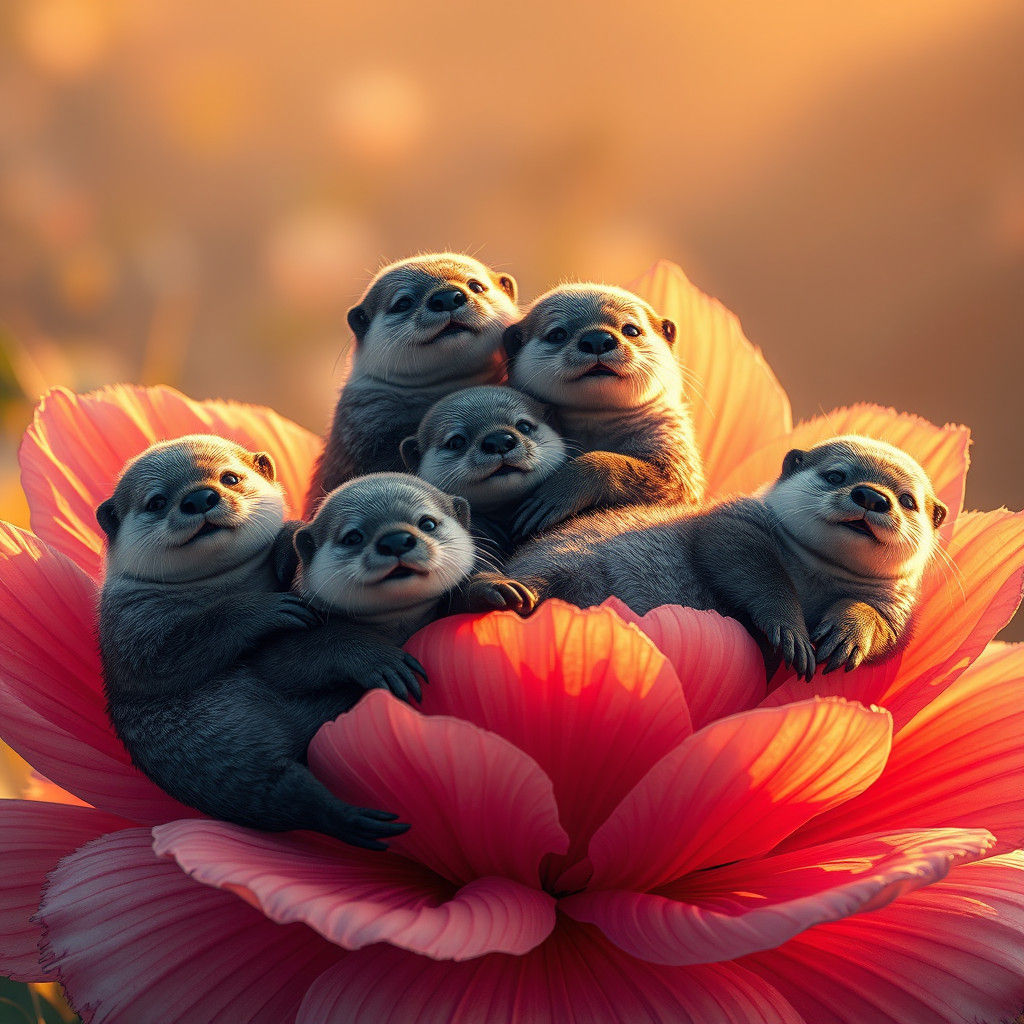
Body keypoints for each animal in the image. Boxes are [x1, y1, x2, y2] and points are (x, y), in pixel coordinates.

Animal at [98, 435, 423, 850]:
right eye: (156, 501)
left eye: (230, 478)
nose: (200, 497)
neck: (224, 584)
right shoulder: (127, 628)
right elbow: (170, 654)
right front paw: (266, 609)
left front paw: (287, 544)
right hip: (225, 765)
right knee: (283, 794)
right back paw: (351, 818)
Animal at [469, 437, 946, 680]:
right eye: (835, 475)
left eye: (907, 500)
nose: (872, 496)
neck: (815, 578)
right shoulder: (735, 523)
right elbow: (748, 567)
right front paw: (790, 631)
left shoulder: (895, 607)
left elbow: (880, 625)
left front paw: (848, 634)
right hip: (557, 562)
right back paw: (497, 592)